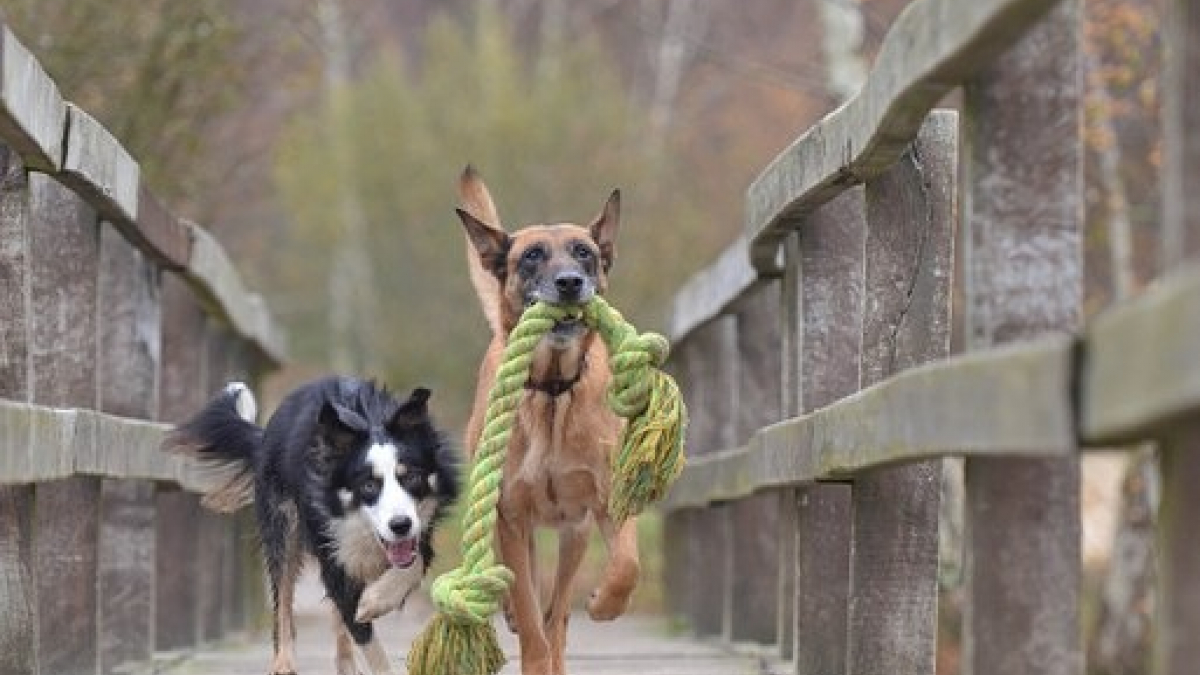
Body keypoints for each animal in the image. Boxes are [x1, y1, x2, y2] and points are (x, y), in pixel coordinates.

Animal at [171, 379, 460, 672]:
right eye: (368, 485)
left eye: (411, 477)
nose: (400, 525)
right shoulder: (331, 549)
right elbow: (362, 631)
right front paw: (368, 609)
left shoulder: (419, 530)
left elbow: (414, 562)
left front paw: (376, 600)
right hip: (282, 525)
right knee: (283, 599)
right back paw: (284, 663)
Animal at [451, 165, 638, 672]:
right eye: (532, 256)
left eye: (584, 253)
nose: (570, 282)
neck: (554, 391)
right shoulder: (512, 516)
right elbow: (532, 617)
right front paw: (530, 643)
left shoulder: (606, 501)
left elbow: (627, 565)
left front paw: (604, 604)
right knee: (530, 597)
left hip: (574, 534)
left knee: (558, 613)